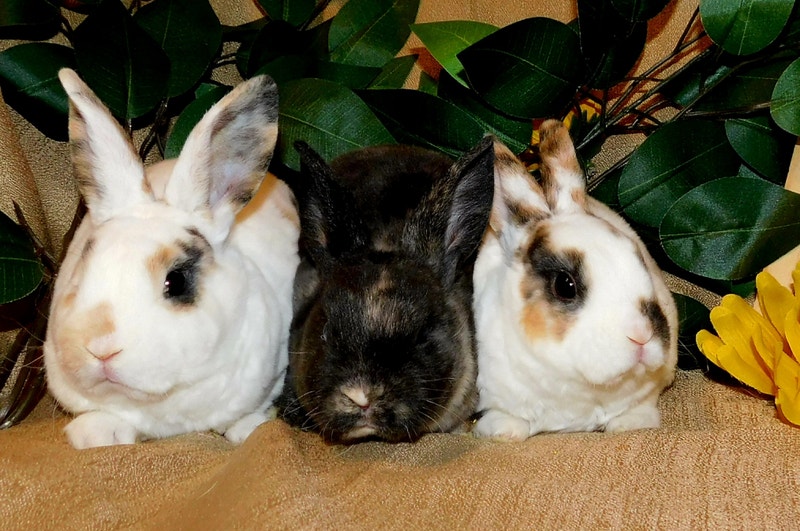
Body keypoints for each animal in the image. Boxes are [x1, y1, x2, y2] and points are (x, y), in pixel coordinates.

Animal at [472, 120, 678, 441]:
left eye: (639, 258)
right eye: (565, 285)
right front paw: (502, 432)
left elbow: (637, 407)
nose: (642, 334)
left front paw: (632, 424)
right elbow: (506, 416)